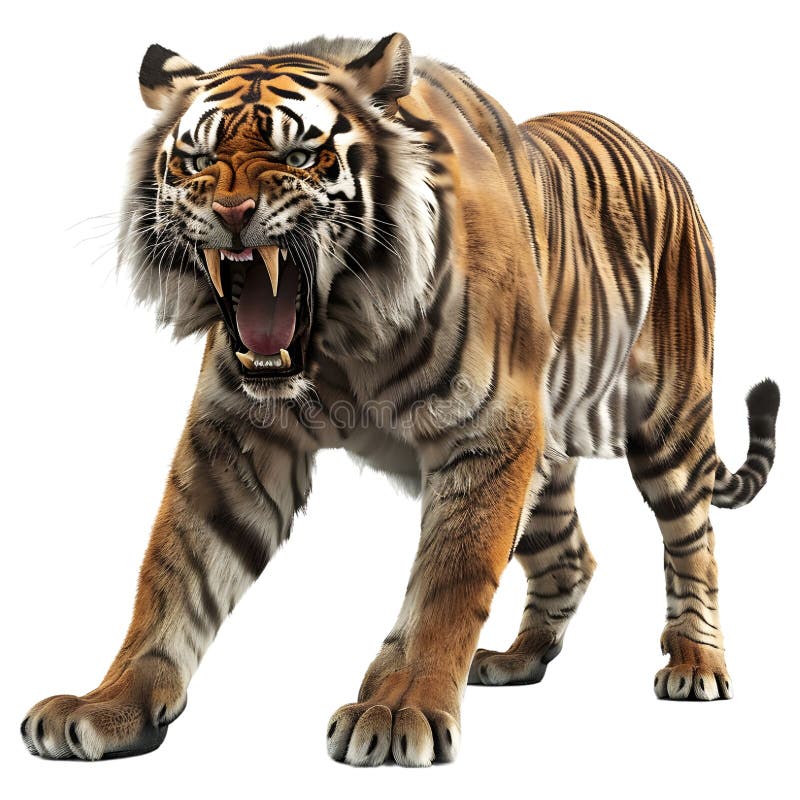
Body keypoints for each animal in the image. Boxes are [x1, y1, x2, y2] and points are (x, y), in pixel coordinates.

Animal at [21, 33, 780, 767]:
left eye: (300, 155)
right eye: (197, 161)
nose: (230, 213)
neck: (343, 341)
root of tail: (656, 154)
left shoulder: (488, 436)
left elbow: (449, 583)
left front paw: (399, 708)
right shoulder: (236, 439)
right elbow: (174, 572)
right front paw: (109, 705)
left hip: (669, 425)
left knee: (694, 544)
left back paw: (696, 664)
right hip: (546, 462)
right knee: (570, 557)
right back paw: (517, 659)